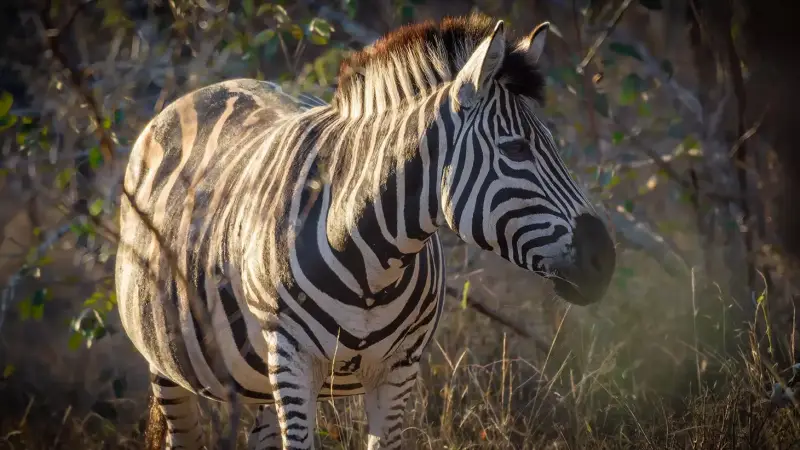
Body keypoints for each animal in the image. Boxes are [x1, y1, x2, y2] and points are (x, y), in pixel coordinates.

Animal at [115, 14, 616, 450]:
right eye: (515, 150)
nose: (604, 261)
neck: (371, 263)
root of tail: (209, 88)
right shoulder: (292, 360)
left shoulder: (400, 368)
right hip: (167, 365)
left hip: (259, 382)